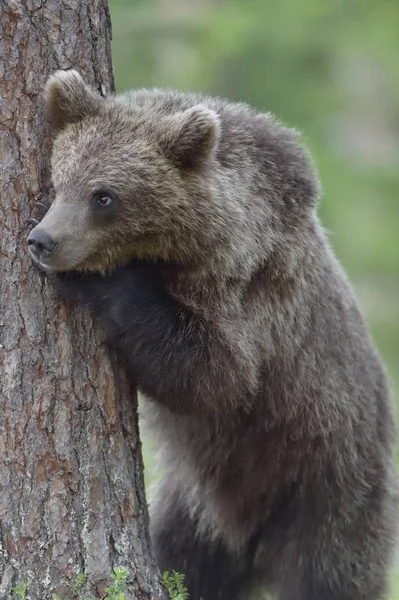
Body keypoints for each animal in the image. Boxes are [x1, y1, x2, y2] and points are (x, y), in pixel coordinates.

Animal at [27, 71, 396, 600]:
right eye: (61, 179)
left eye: (104, 196)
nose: (43, 241)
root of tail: (253, 542)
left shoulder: (252, 303)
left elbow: (215, 377)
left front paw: (103, 280)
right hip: (198, 510)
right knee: (185, 558)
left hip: (328, 483)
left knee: (330, 573)